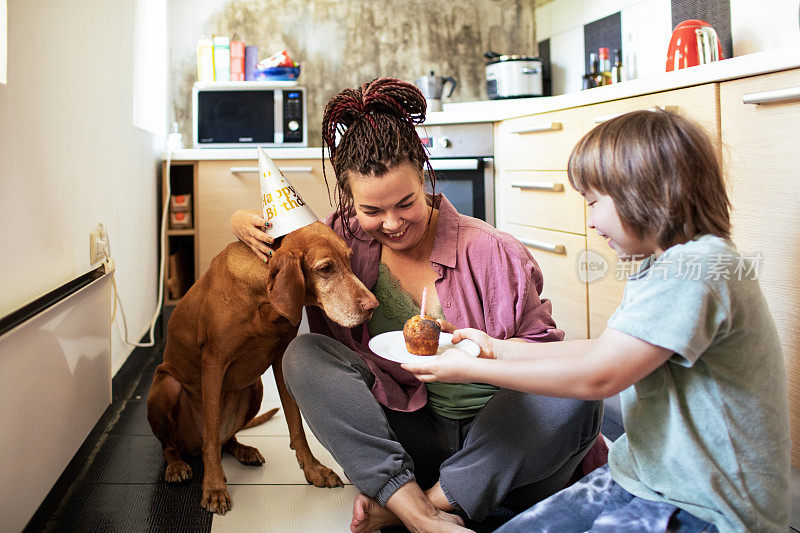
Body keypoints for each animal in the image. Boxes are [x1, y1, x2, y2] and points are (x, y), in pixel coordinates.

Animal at [146, 220, 378, 512]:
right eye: (326, 268)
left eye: (349, 260)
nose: (373, 306)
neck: (263, 299)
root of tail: (190, 447)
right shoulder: (213, 362)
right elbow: (210, 436)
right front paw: (214, 487)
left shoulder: (281, 357)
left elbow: (295, 424)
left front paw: (313, 469)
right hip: (166, 385)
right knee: (175, 444)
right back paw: (177, 465)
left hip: (254, 388)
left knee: (225, 439)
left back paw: (243, 450)